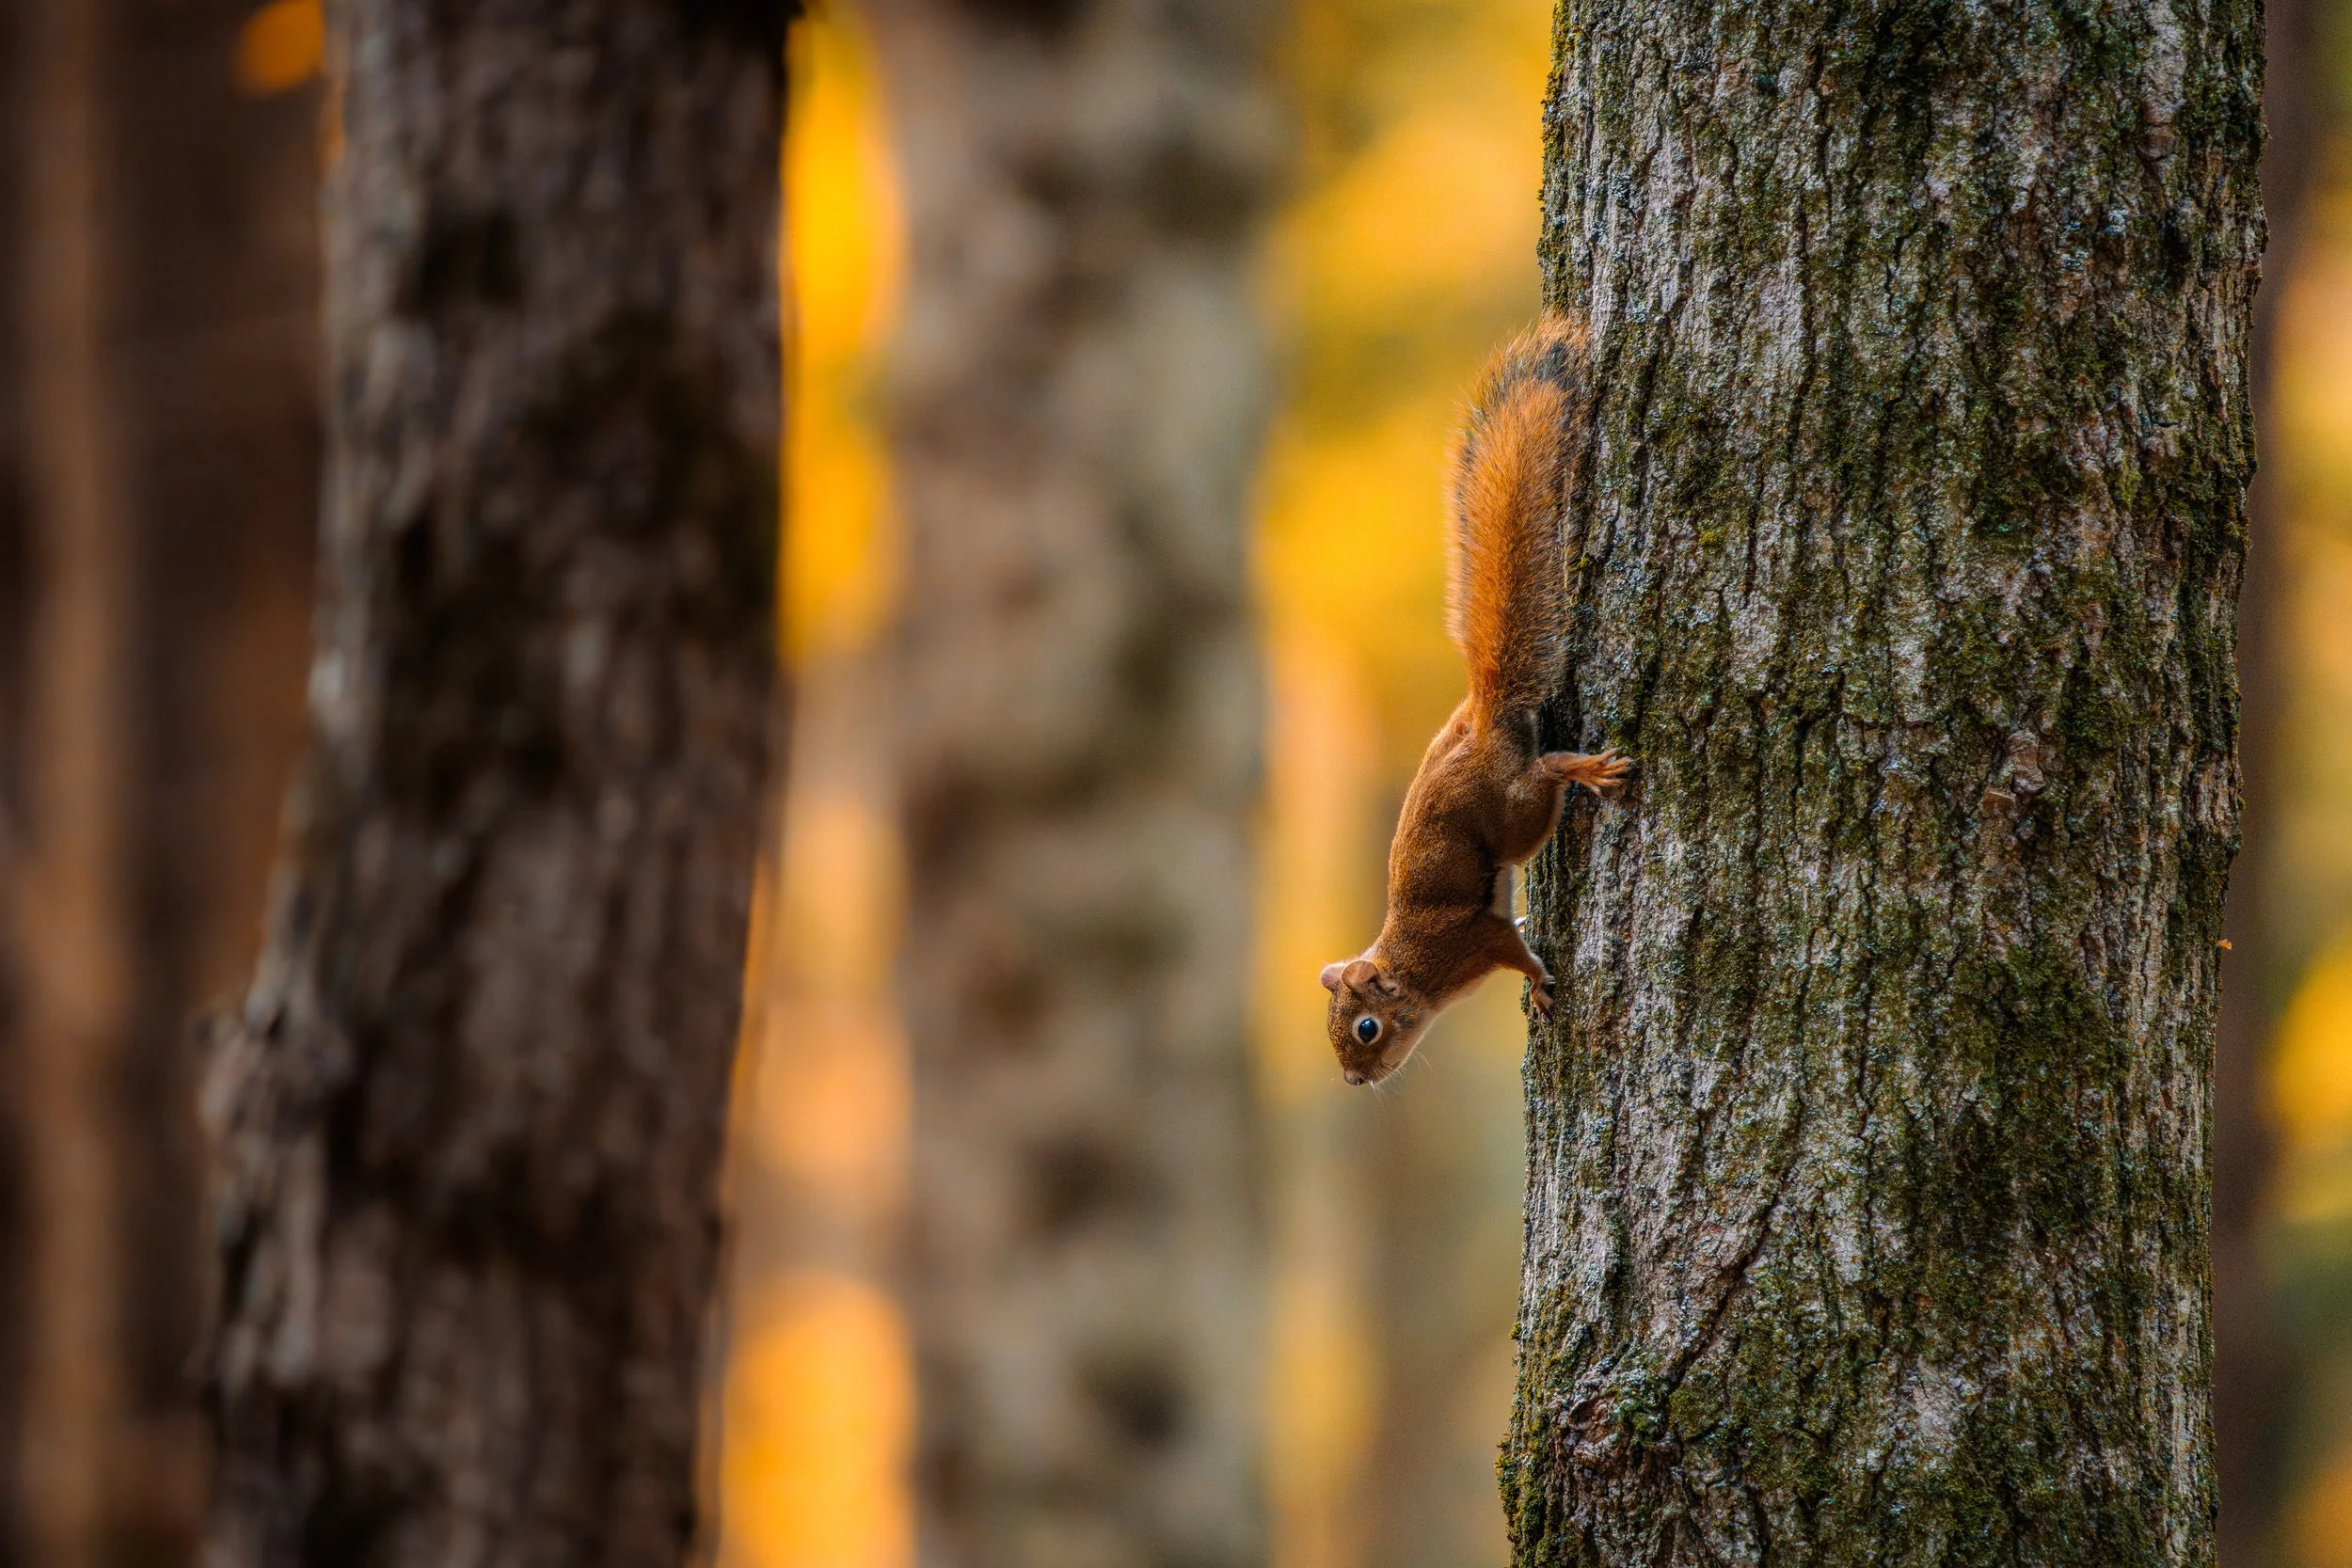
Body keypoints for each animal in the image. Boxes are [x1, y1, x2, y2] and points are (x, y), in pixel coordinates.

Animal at [1320, 314, 1629, 1087]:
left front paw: (1539, 982)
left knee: (1545, 773)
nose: (1356, 1079)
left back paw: (1588, 770)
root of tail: (1485, 714)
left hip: (1514, 813)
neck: (1413, 973)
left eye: (1365, 1028)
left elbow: (1508, 946)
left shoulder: (1470, 940)